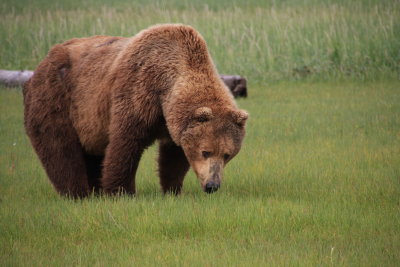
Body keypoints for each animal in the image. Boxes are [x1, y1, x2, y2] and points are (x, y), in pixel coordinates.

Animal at [23, 24, 248, 198]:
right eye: (206, 151)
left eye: (227, 154)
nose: (212, 185)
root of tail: (41, 63)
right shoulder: (138, 89)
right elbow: (126, 142)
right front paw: (120, 192)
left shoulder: (171, 120)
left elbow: (173, 155)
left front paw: (173, 190)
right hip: (58, 99)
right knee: (61, 149)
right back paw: (77, 193)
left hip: (88, 123)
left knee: (92, 152)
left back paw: (94, 189)